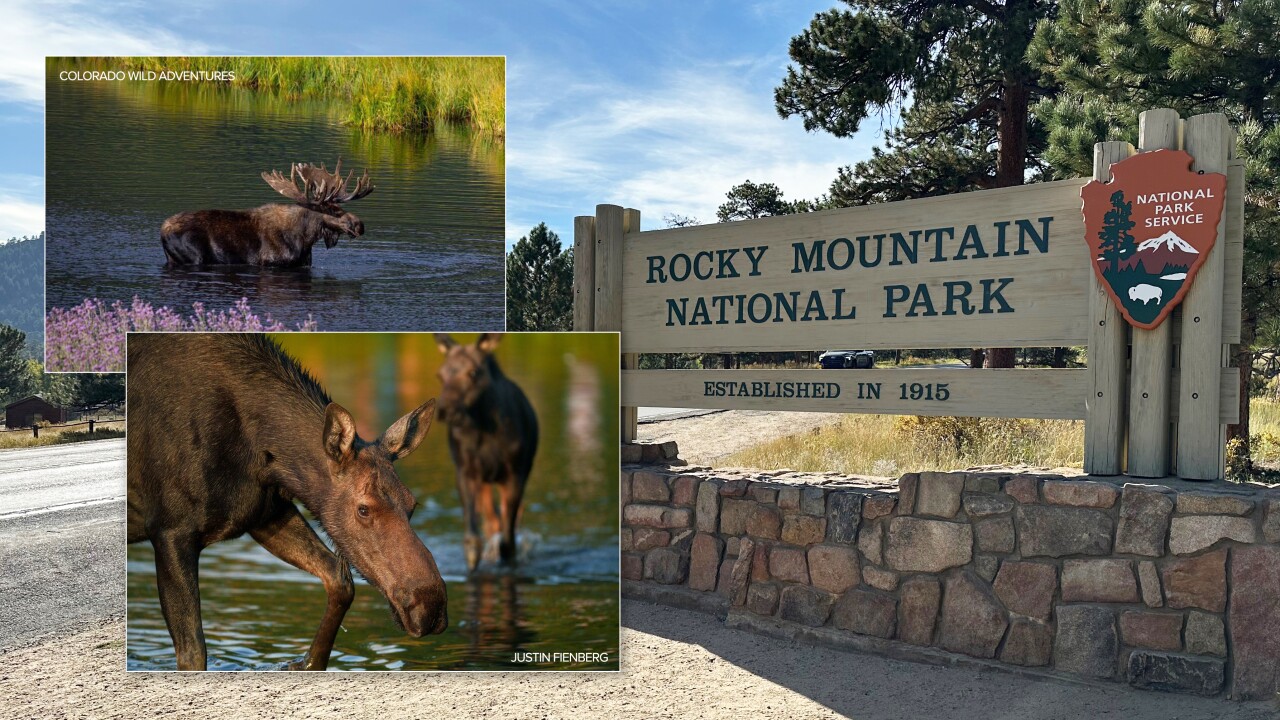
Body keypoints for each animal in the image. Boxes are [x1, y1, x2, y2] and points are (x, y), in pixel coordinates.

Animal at [160, 160, 374, 268]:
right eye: (332, 209)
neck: (305, 239)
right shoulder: (272, 262)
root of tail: (161, 231)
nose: (360, 225)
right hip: (194, 257)